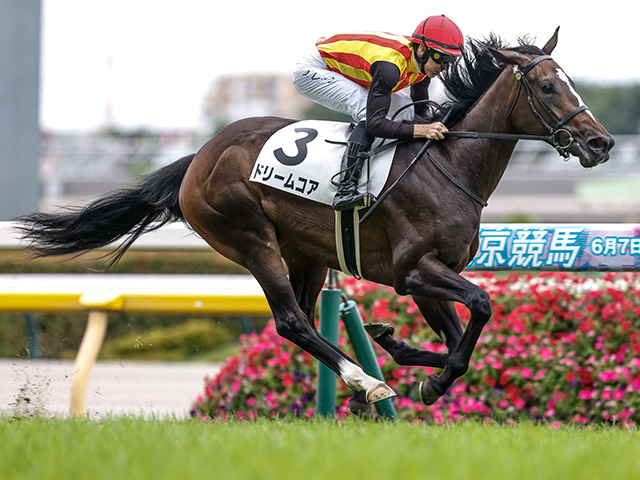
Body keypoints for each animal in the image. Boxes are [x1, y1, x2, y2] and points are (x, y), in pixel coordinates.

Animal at [15, 29, 614, 411]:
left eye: (572, 83)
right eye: (547, 87)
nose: (601, 143)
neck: (450, 165)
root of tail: (199, 158)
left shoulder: (428, 274)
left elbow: (455, 340)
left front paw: (401, 351)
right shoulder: (414, 269)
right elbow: (482, 307)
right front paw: (418, 376)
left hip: (305, 252)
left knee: (301, 316)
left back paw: (364, 382)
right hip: (251, 238)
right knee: (291, 321)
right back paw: (365, 382)